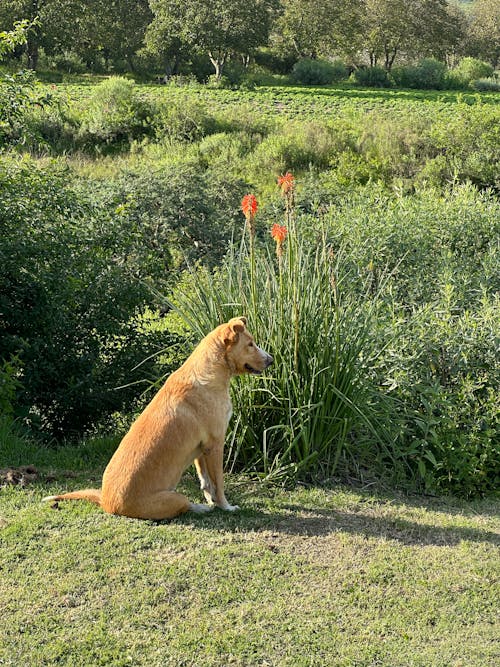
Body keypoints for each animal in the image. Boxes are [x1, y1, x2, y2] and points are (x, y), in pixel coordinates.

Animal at [44, 318, 274, 520]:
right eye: (250, 344)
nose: (271, 360)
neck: (211, 371)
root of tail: (106, 502)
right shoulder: (215, 444)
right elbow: (218, 483)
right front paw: (226, 507)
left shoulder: (202, 449)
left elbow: (206, 482)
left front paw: (213, 501)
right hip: (176, 497)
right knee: (185, 505)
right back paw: (200, 508)